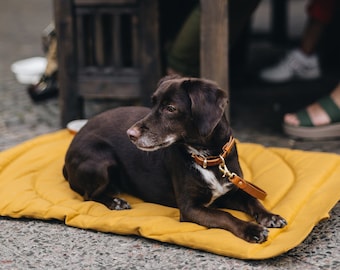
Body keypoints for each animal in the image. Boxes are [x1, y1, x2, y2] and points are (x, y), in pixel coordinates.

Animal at [62, 75, 286, 243]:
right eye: (152, 104)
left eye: (170, 108)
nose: (130, 134)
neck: (208, 157)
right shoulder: (190, 208)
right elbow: (225, 215)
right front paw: (252, 230)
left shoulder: (231, 190)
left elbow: (253, 199)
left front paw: (270, 216)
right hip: (101, 160)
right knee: (88, 195)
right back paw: (115, 201)